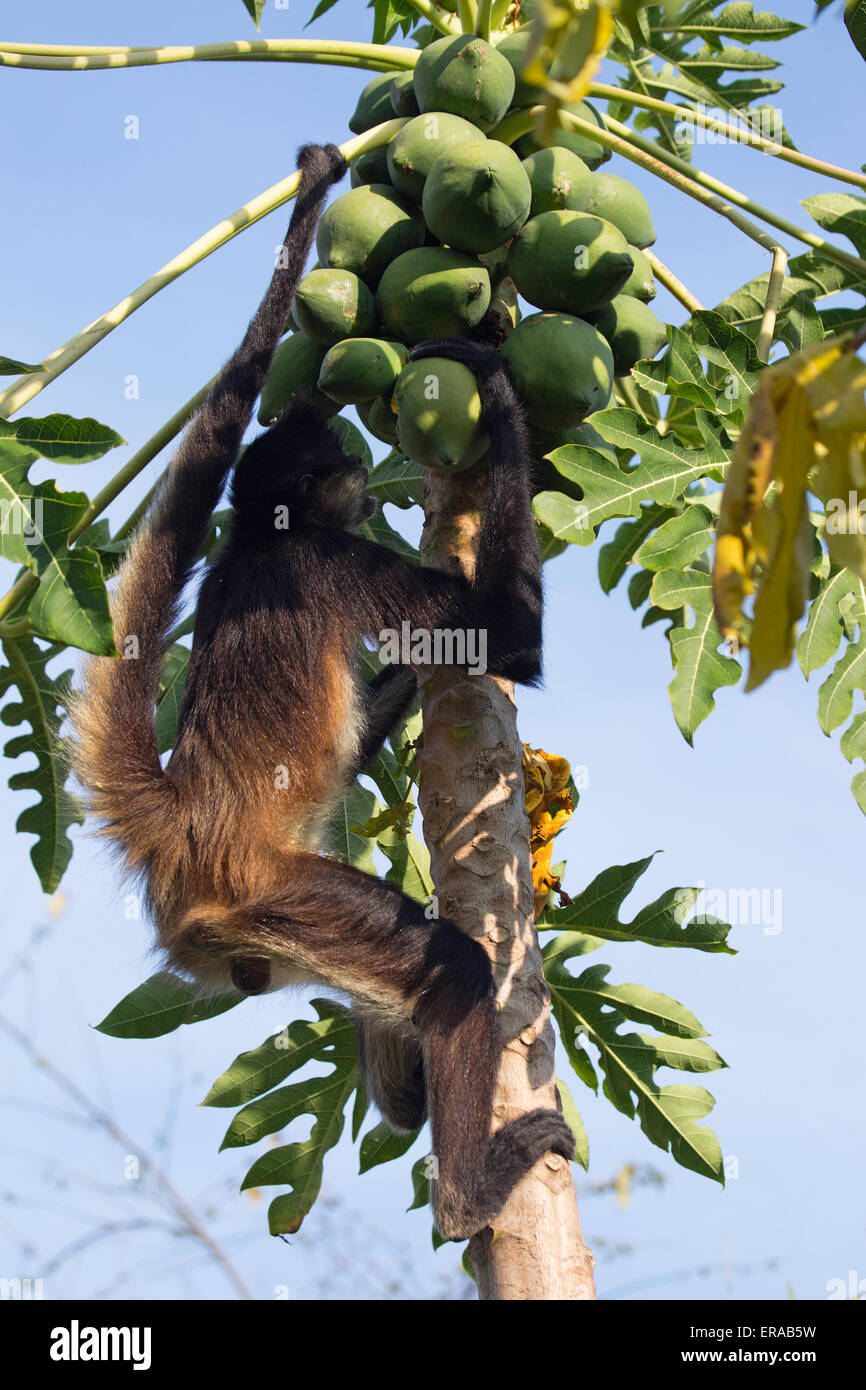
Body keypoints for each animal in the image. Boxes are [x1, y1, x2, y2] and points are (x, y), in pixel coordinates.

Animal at [72, 146, 575, 1245]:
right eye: (340, 464)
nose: (354, 458)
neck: (265, 538)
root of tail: (186, 821)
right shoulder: (332, 558)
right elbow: (509, 640)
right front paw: (496, 390)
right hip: (284, 896)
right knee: (454, 967)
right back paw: (467, 1196)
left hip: (266, 942)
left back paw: (402, 1093)